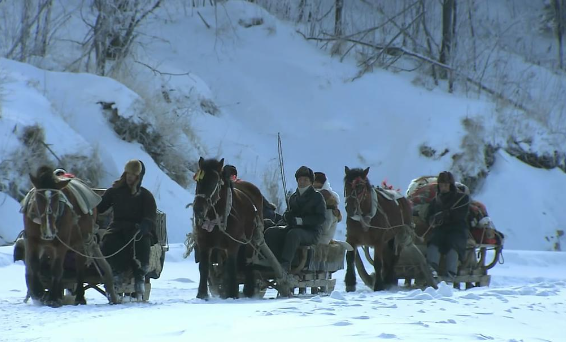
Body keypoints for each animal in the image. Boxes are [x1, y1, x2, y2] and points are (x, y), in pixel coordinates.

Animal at [23, 166, 118, 306]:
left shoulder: (61, 243)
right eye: (38, 198)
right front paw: (38, 292)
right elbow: (34, 265)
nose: (49, 231)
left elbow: (56, 269)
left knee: (79, 266)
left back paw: (79, 297)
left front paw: (52, 298)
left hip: (81, 241)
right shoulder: (32, 240)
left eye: (57, 199)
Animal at [193, 157, 266, 300]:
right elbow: (204, 268)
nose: (198, 209)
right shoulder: (203, 243)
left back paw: (248, 291)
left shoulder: (233, 244)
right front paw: (202, 294)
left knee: (248, 262)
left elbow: (231, 267)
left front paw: (232, 294)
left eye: (214, 181)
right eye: (198, 180)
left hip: (251, 241)